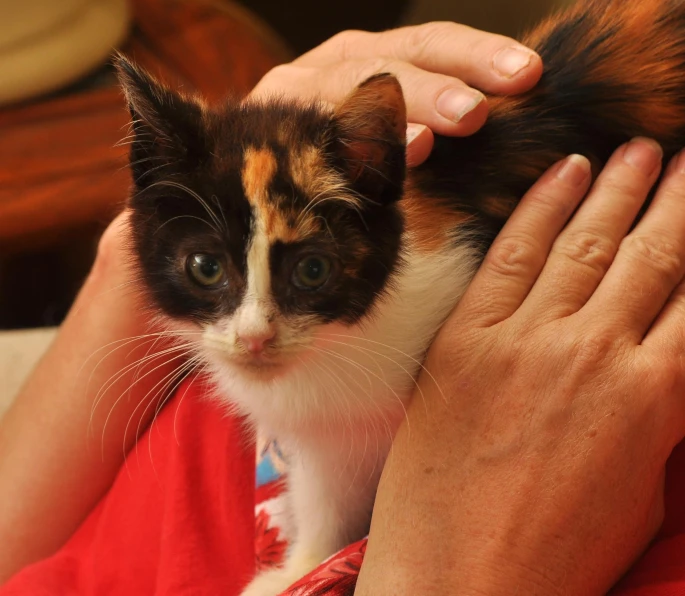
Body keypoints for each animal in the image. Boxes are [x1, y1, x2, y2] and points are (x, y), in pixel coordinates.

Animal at [119, 0, 685, 592]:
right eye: (205, 268)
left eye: (313, 270)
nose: (254, 339)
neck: (337, 350)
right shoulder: (326, 438)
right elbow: (324, 492)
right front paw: (303, 566)